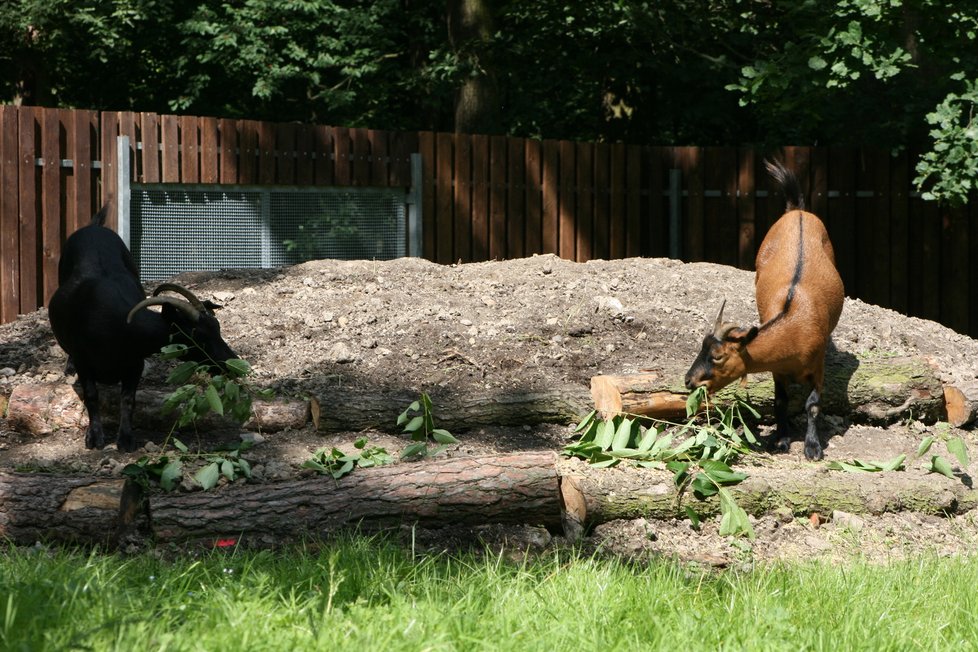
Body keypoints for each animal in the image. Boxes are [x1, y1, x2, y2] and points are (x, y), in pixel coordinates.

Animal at [49, 206, 238, 450]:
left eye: (217, 328)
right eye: (197, 336)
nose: (231, 363)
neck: (117, 326)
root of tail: (94, 227)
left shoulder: (134, 364)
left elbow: (128, 399)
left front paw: (126, 439)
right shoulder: (85, 361)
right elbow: (91, 395)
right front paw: (95, 437)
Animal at [684, 160, 844, 460]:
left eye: (718, 357)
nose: (689, 381)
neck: (794, 329)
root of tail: (797, 211)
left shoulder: (817, 366)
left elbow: (813, 404)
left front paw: (812, 447)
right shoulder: (777, 369)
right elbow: (780, 401)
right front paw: (781, 440)